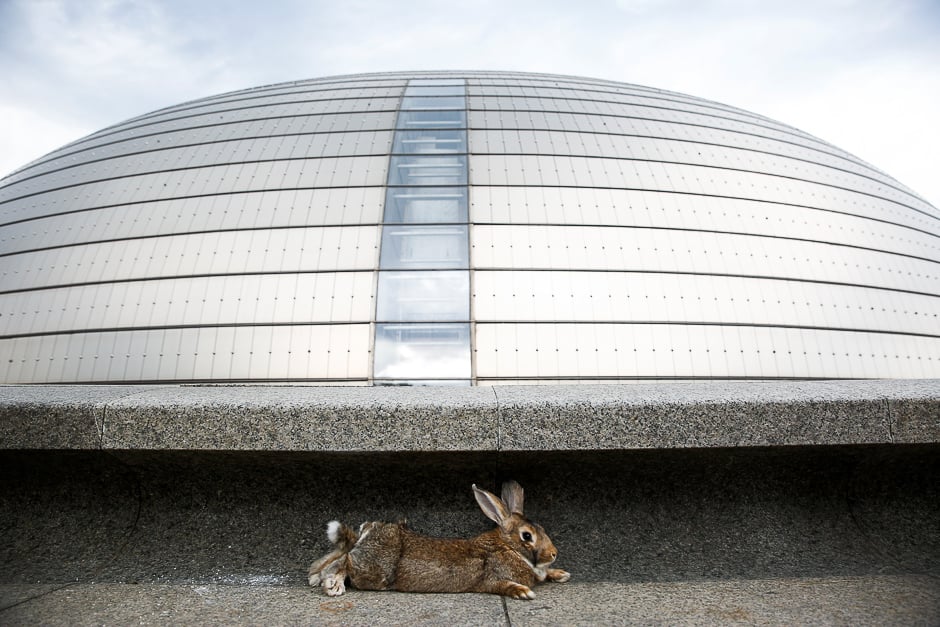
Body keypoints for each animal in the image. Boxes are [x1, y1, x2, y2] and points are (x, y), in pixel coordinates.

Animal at [312, 484, 568, 600]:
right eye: (527, 536)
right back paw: (332, 585)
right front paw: (524, 592)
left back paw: (316, 577)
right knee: (345, 561)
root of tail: (368, 531)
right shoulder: (491, 580)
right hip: (376, 572)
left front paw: (561, 574)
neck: (509, 547)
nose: (554, 553)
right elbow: (503, 586)